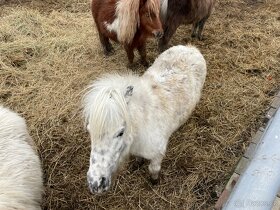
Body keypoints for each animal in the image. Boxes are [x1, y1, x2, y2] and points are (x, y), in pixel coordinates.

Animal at [82, 44, 207, 194]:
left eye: (120, 132)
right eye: (89, 130)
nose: (95, 184)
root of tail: (190, 48)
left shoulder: (158, 155)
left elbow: (153, 169)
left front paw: (154, 181)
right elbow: (138, 159)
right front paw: (137, 164)